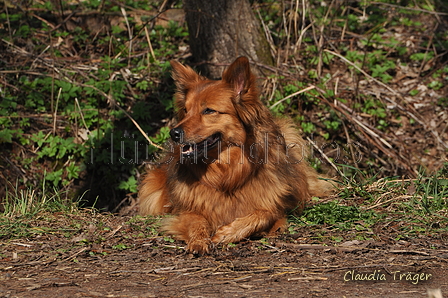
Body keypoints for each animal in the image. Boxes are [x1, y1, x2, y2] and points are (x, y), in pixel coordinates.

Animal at [139, 56, 332, 254]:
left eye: (208, 110)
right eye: (185, 110)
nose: (174, 133)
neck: (226, 174)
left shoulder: (277, 206)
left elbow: (264, 214)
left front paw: (227, 233)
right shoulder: (185, 210)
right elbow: (197, 221)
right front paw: (199, 240)